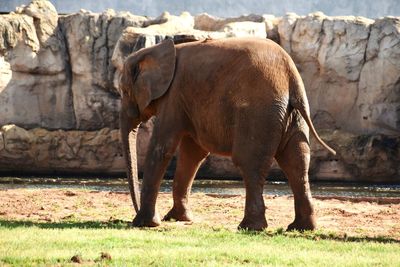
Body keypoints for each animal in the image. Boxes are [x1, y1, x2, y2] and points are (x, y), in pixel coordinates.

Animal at [119, 37, 334, 232]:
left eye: (123, 91)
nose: (133, 212)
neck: (156, 50)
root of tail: (291, 77)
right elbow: (192, 154)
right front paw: (177, 218)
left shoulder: (173, 96)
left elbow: (162, 148)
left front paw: (144, 223)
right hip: (292, 115)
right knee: (296, 162)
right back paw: (301, 228)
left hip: (258, 114)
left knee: (250, 162)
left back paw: (250, 227)